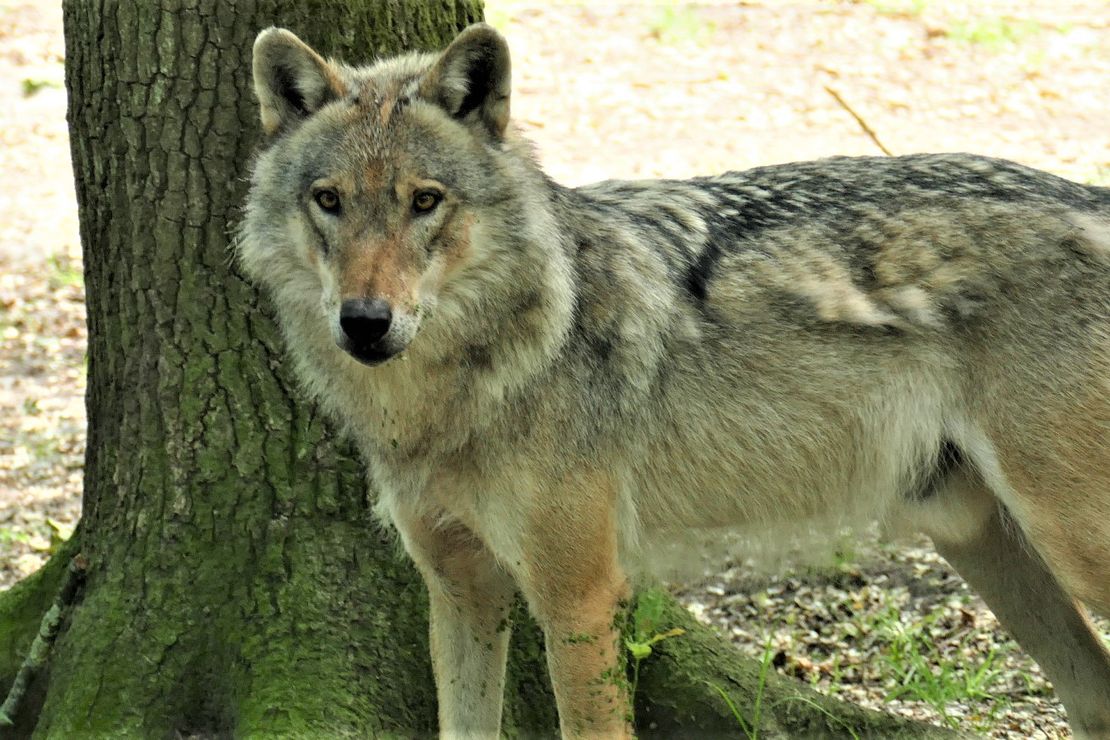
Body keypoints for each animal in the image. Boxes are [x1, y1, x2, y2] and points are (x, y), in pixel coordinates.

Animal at [238, 22, 1110, 739]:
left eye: (425, 201)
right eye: (329, 201)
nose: (365, 322)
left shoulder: (579, 595)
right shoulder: (461, 589)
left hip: (1069, 544)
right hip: (979, 540)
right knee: (1092, 697)